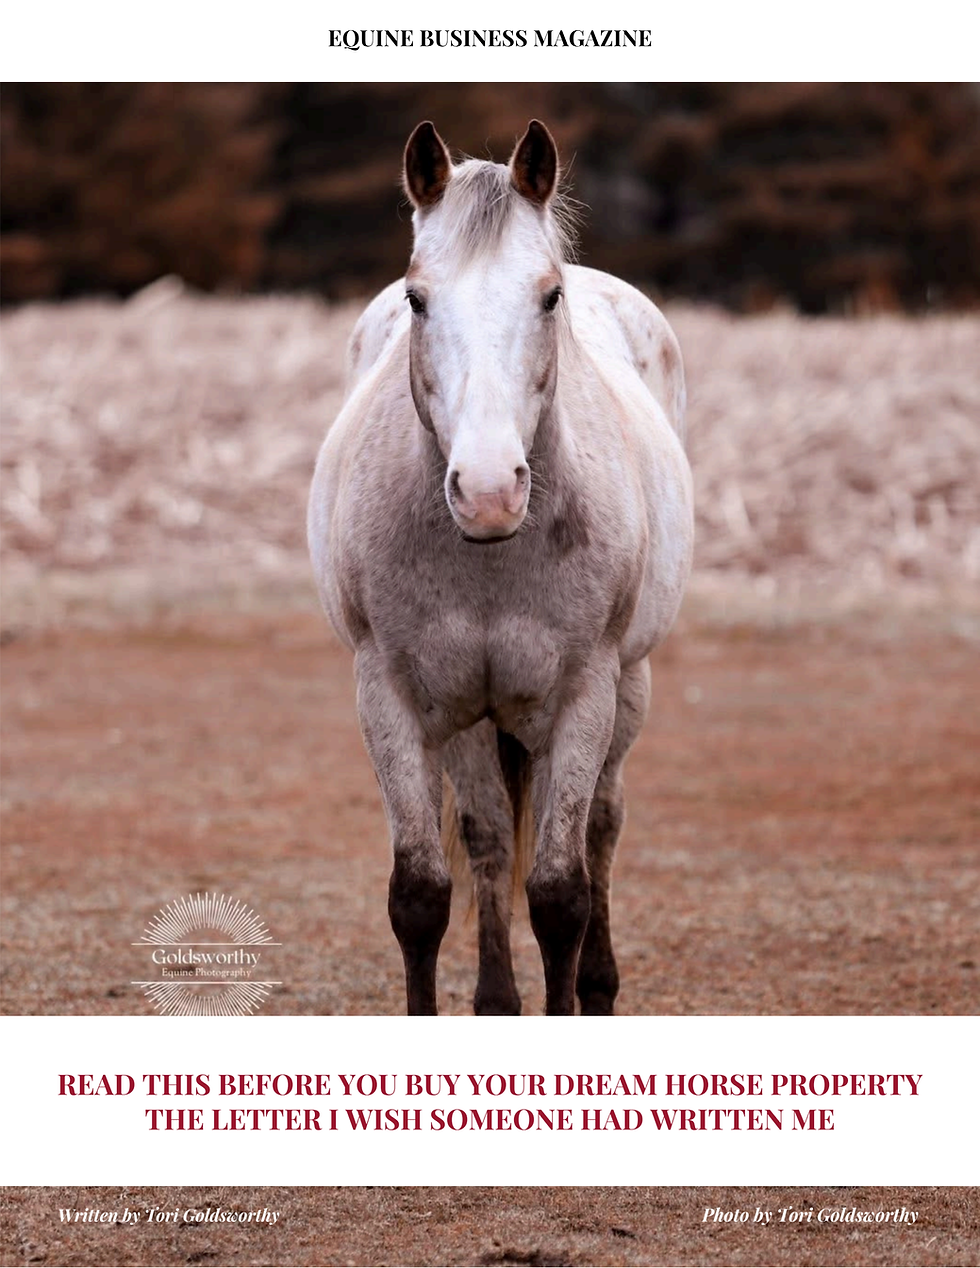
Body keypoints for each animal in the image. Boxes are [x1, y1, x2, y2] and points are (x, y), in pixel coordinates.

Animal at [308, 120, 693, 1015]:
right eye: (417, 299)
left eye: (549, 297)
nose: (488, 491)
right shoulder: (394, 698)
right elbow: (420, 896)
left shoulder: (582, 697)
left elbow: (559, 896)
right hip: (471, 720)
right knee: (486, 837)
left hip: (628, 686)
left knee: (603, 826)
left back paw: (600, 984)